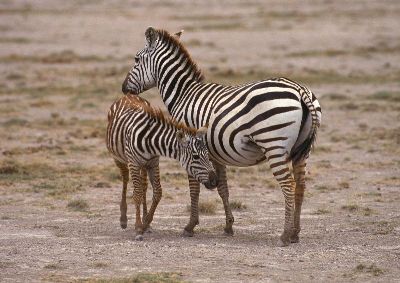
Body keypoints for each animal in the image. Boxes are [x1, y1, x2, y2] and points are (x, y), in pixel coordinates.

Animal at [106, 95, 217, 240]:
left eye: (207, 155)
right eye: (196, 156)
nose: (215, 181)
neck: (149, 140)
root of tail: (129, 95)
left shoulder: (154, 163)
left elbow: (157, 192)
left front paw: (146, 223)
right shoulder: (134, 163)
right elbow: (137, 194)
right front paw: (138, 228)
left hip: (144, 165)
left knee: (144, 186)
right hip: (119, 158)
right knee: (125, 178)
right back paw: (123, 219)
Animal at [122, 27, 322, 247]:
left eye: (136, 59)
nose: (124, 89)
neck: (184, 94)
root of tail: (299, 89)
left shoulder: (189, 148)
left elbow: (194, 188)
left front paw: (190, 226)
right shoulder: (216, 153)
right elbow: (223, 188)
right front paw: (228, 226)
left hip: (274, 145)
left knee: (288, 185)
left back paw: (285, 235)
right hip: (301, 151)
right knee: (300, 186)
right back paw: (295, 233)